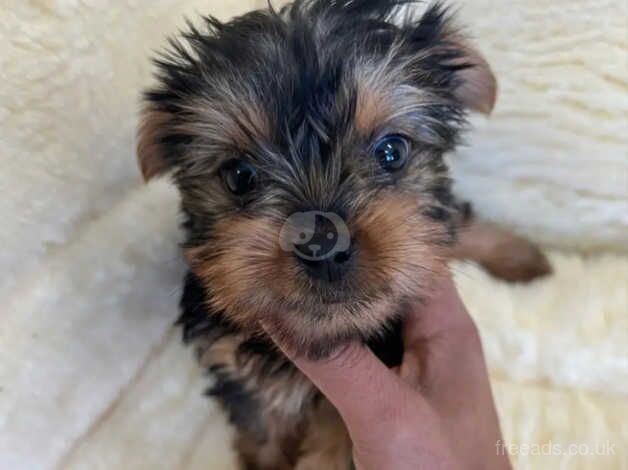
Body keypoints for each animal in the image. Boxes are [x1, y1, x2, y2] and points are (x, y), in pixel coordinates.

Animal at [137, 1, 548, 468]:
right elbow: (263, 430)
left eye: (391, 151)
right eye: (240, 176)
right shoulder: (238, 368)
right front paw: (264, 456)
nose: (323, 244)